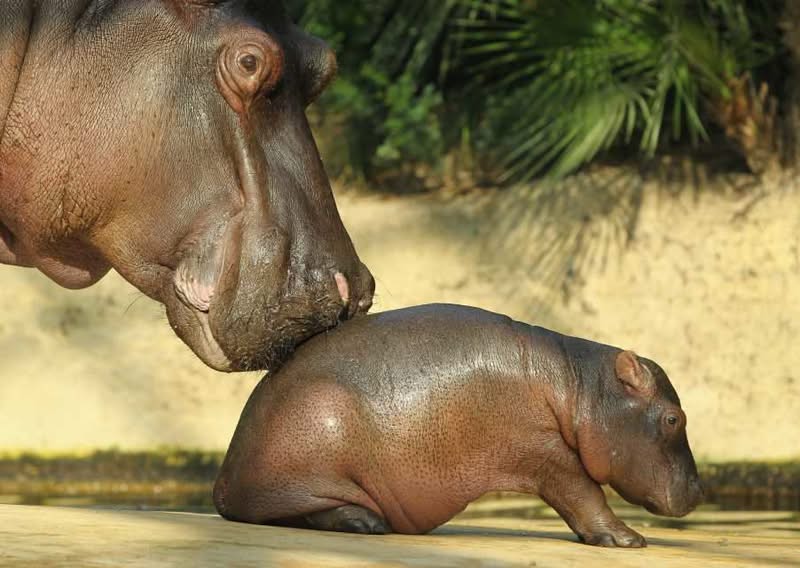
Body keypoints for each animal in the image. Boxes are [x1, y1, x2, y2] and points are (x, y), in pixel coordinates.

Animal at [216, 304, 704, 548]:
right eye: (674, 417)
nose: (700, 490)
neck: (580, 387)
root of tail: (222, 481)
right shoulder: (548, 454)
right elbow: (585, 494)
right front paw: (628, 540)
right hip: (318, 431)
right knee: (302, 510)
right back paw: (367, 523)